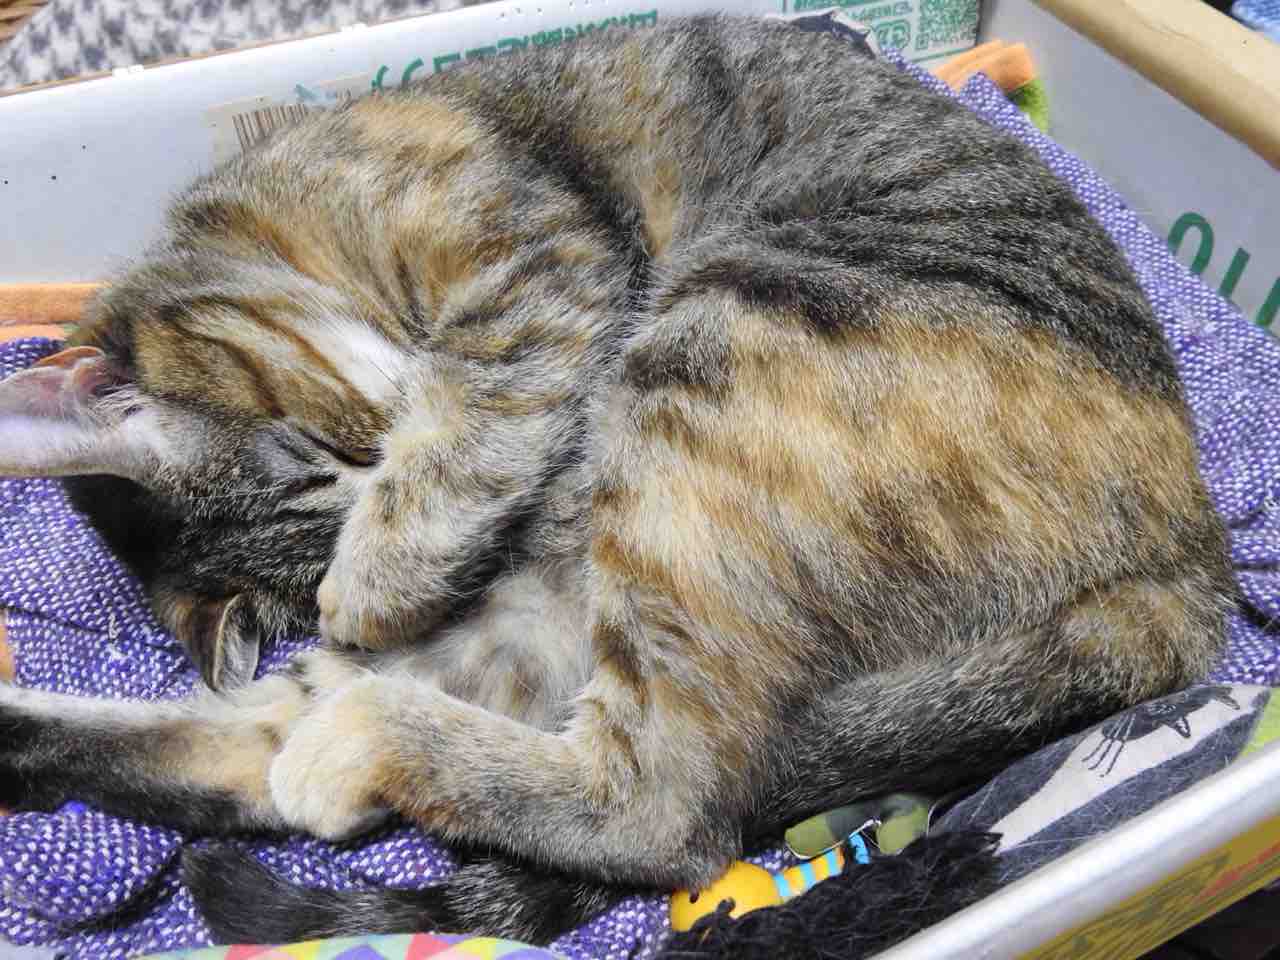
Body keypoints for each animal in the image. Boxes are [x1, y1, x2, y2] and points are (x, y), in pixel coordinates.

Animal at [0, 14, 1234, 948]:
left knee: (664, 811)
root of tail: (1189, 569)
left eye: (344, 449)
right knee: (271, 752)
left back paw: (356, 737)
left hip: (711, 361)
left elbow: (473, 406)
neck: (273, 210)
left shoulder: (536, 269)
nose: (360, 567)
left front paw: (376, 569)